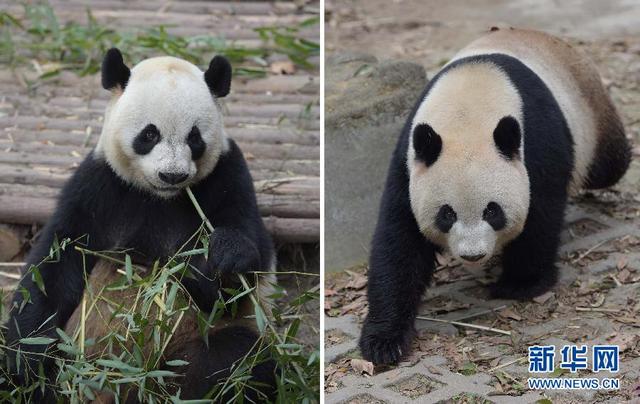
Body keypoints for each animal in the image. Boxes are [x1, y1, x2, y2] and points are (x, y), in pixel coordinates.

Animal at [4, 47, 278, 400]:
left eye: (195, 138)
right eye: (149, 134)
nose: (172, 175)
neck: (159, 197)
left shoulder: (227, 176)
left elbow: (235, 281)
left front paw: (222, 258)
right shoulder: (99, 187)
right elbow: (55, 264)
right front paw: (26, 362)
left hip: (186, 352)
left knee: (236, 362)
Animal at [360, 26, 632, 364]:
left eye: (492, 211)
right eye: (446, 214)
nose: (473, 255)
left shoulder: (536, 143)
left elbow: (540, 216)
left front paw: (521, 284)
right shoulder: (409, 160)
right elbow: (399, 242)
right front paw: (384, 341)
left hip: (589, 116)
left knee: (610, 164)